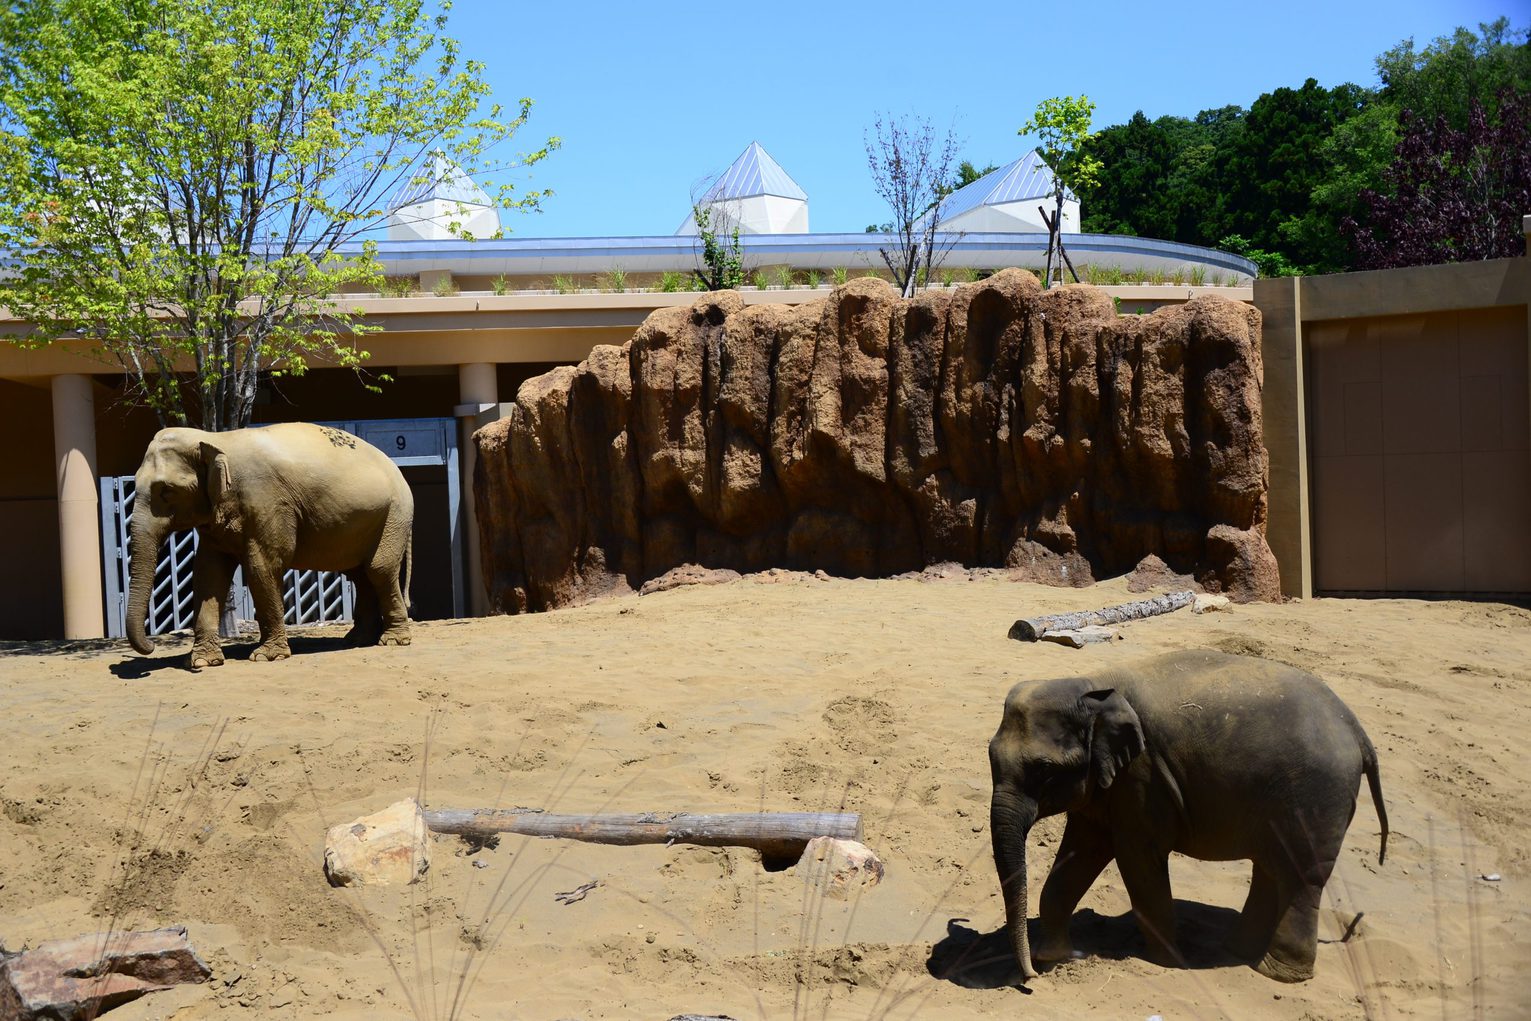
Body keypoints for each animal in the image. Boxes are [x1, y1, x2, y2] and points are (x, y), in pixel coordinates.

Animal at [126, 419, 416, 667]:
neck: (215, 439)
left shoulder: (266, 500)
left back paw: (393, 640)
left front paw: (266, 656)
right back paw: (357, 640)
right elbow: (208, 573)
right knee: (359, 575)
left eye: (166, 491)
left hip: (395, 514)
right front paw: (201, 662)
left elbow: (262, 566)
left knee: (378, 569)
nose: (151, 647)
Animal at [992, 652, 1390, 985]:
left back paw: (1276, 973)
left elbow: (1137, 858)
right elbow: (1081, 853)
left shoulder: (1143, 777)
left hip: (1317, 796)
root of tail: (1356, 729)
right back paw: (1237, 951)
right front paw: (1053, 957)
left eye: (1044, 770)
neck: (1092, 683)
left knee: (1301, 878)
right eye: (990, 755)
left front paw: (1169, 964)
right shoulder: (1107, 786)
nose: (1029, 979)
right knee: (1271, 869)